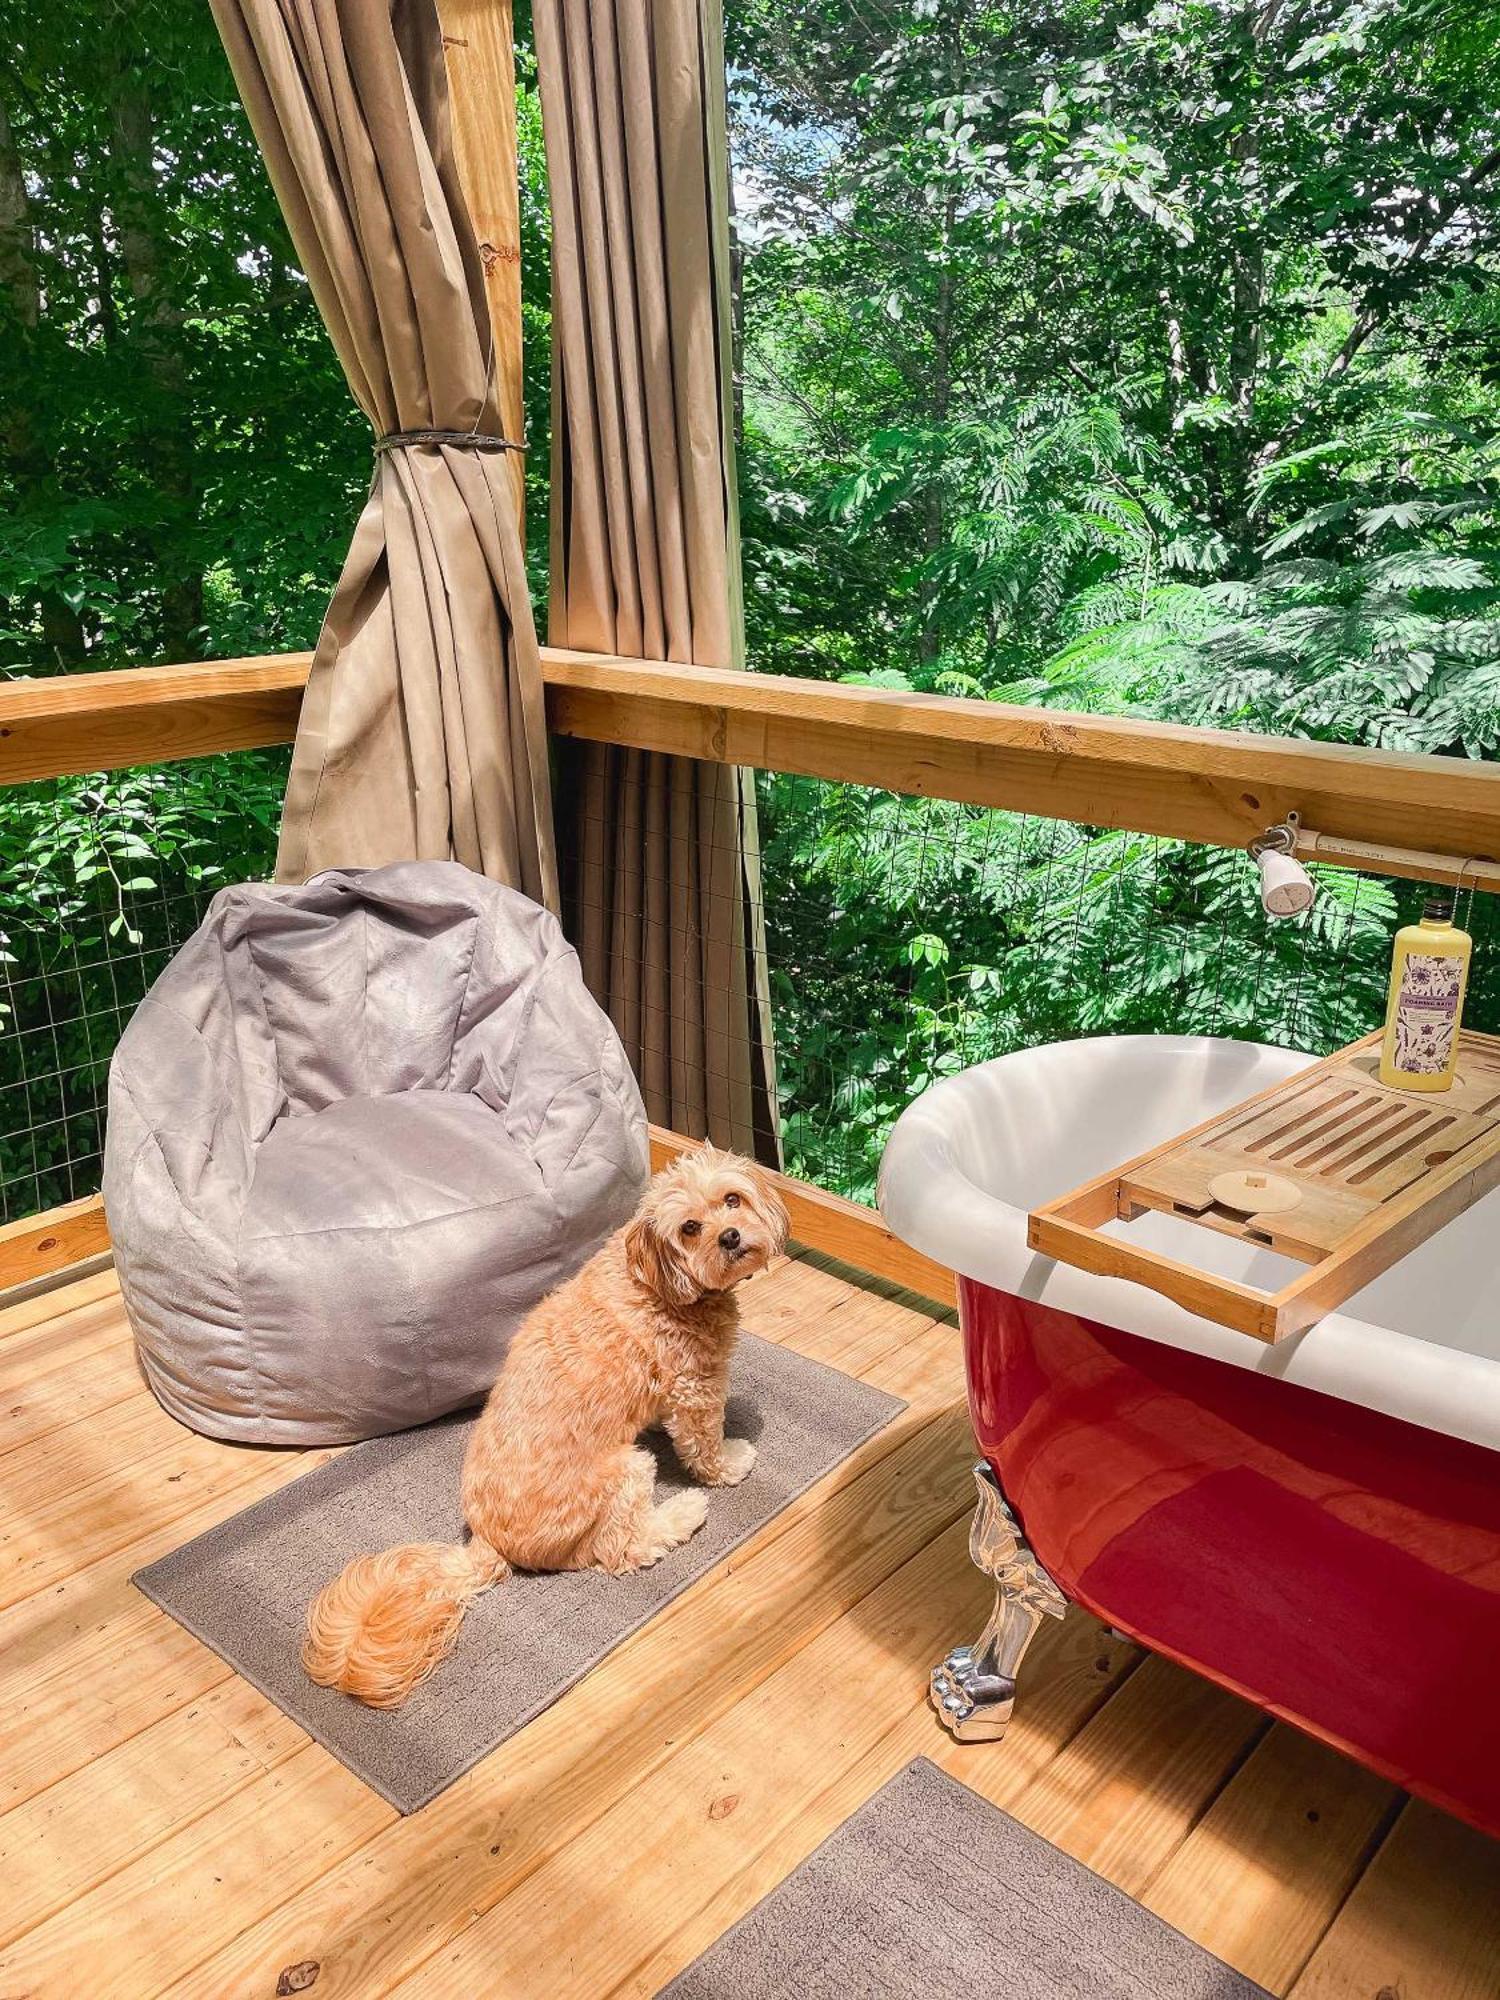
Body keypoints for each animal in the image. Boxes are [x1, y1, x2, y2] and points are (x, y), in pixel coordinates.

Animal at [306, 1152, 800, 1712]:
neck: (654, 1282)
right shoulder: (696, 1387)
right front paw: (730, 1464)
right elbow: (705, 1446)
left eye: (732, 1199)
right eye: (690, 1228)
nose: (731, 1237)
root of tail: (487, 1542)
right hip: (625, 1470)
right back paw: (682, 1513)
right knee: (623, 1551)